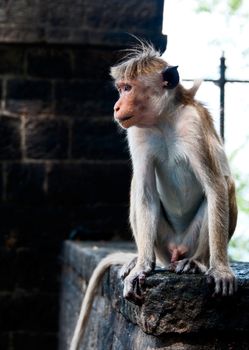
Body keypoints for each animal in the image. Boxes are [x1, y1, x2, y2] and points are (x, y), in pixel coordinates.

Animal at [69, 41, 237, 350]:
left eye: (127, 88)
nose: (116, 105)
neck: (163, 120)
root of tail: (174, 251)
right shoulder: (136, 133)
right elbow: (145, 191)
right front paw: (141, 267)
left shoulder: (193, 126)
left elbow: (216, 187)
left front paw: (220, 269)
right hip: (162, 241)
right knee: (138, 186)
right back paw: (140, 259)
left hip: (188, 240)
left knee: (226, 185)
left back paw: (196, 261)